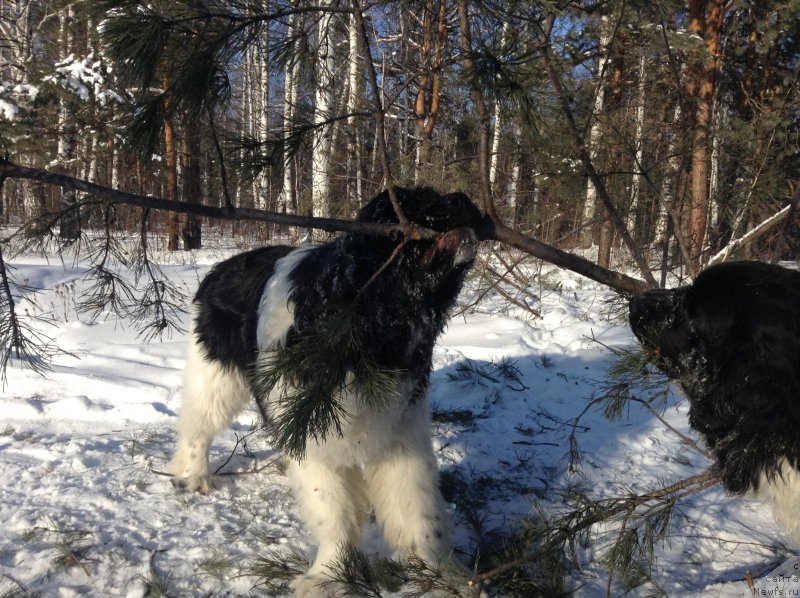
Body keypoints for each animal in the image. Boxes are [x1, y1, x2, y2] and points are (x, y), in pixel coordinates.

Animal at [168, 189, 482, 598]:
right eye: (414, 201)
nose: (462, 198)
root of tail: (220, 267)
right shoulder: (315, 441)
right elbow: (332, 512)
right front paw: (328, 576)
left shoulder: (401, 436)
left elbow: (420, 511)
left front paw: (440, 578)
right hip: (216, 375)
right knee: (199, 427)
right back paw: (195, 475)